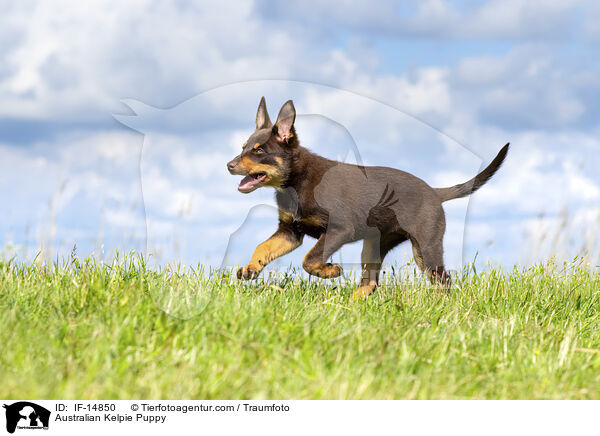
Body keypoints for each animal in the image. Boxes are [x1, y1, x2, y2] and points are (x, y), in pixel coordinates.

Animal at [227, 97, 508, 300]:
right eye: (243, 147)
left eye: (259, 151)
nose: (229, 165)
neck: (295, 182)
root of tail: (434, 191)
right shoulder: (290, 231)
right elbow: (263, 246)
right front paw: (251, 268)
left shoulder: (339, 229)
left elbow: (310, 258)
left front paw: (330, 271)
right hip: (374, 244)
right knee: (371, 281)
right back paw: (349, 304)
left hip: (425, 247)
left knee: (443, 281)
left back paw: (441, 306)